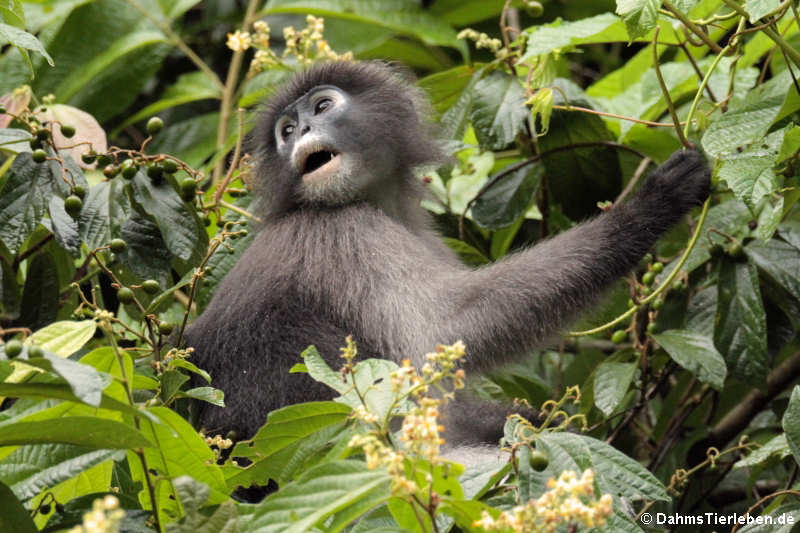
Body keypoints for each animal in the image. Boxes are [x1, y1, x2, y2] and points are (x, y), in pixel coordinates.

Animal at [184, 60, 708, 460]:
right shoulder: (344, 233)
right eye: (287, 131)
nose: (302, 132)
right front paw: (647, 208)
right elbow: (445, 329)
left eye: (322, 107)